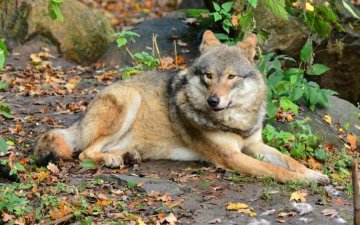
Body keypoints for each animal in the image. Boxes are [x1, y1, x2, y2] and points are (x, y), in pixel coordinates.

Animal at [33, 29, 330, 184]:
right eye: (208, 76)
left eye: (231, 77)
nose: (213, 101)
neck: (236, 121)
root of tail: (80, 119)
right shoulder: (232, 157)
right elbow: (277, 170)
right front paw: (304, 181)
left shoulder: (255, 145)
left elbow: (290, 160)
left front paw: (315, 173)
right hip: (130, 100)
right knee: (85, 152)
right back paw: (112, 160)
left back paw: (127, 156)